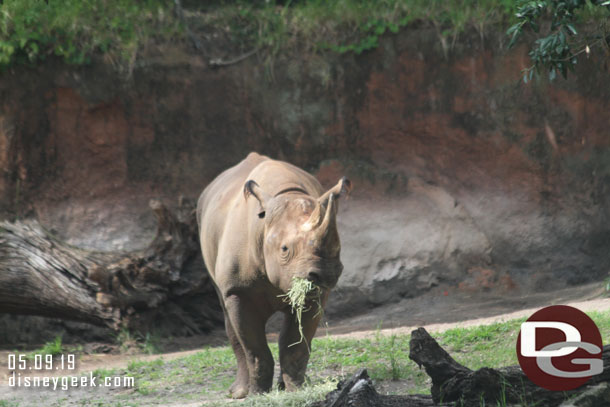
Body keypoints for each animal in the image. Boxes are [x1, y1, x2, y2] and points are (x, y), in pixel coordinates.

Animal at [195, 152, 346, 398]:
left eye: (339, 246)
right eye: (284, 249)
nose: (327, 274)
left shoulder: (313, 291)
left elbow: (295, 343)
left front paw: (296, 389)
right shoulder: (238, 291)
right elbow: (255, 348)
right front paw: (258, 394)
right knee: (227, 315)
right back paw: (239, 392)